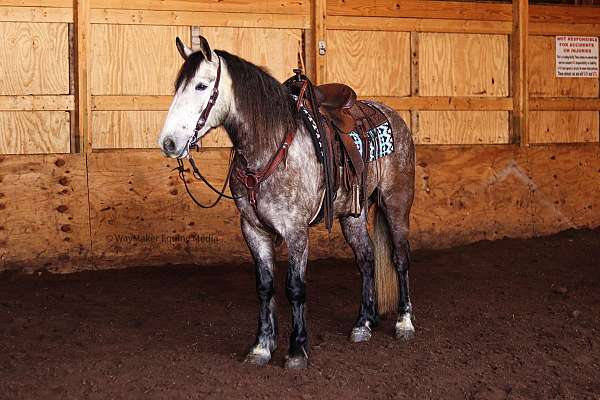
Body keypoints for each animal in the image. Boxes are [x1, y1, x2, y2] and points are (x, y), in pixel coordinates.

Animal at [157, 37, 414, 368]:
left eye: (202, 85)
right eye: (178, 85)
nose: (169, 143)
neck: (269, 147)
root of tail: (392, 116)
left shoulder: (295, 232)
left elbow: (295, 288)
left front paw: (296, 350)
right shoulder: (253, 230)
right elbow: (265, 287)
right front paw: (261, 346)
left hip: (396, 203)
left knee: (400, 258)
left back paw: (404, 322)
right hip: (352, 215)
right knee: (366, 259)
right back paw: (363, 323)